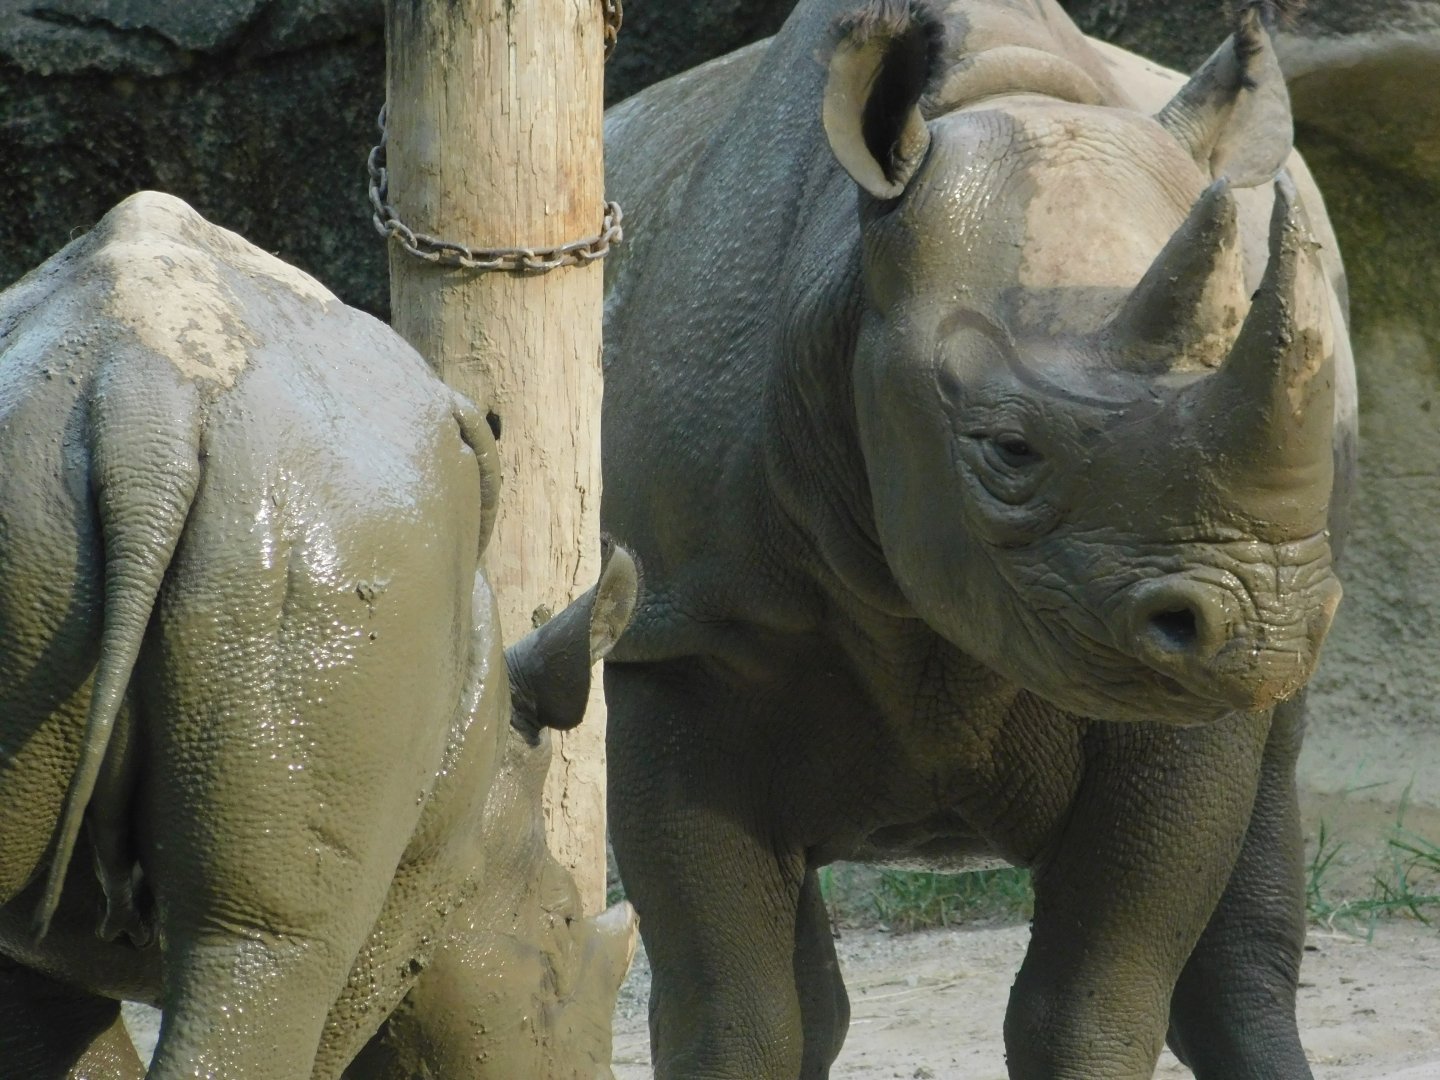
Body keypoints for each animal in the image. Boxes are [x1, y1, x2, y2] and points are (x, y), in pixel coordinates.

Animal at [0, 190, 635, 1079]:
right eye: (564, 924)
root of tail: (140, 400)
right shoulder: (421, 880)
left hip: (40, 506)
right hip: (341, 542)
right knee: (269, 948)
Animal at [600, 1, 1355, 1077]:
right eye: (1008, 450)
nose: (1268, 627)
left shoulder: (1180, 694)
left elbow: (1093, 997)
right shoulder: (681, 626)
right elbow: (730, 1007)